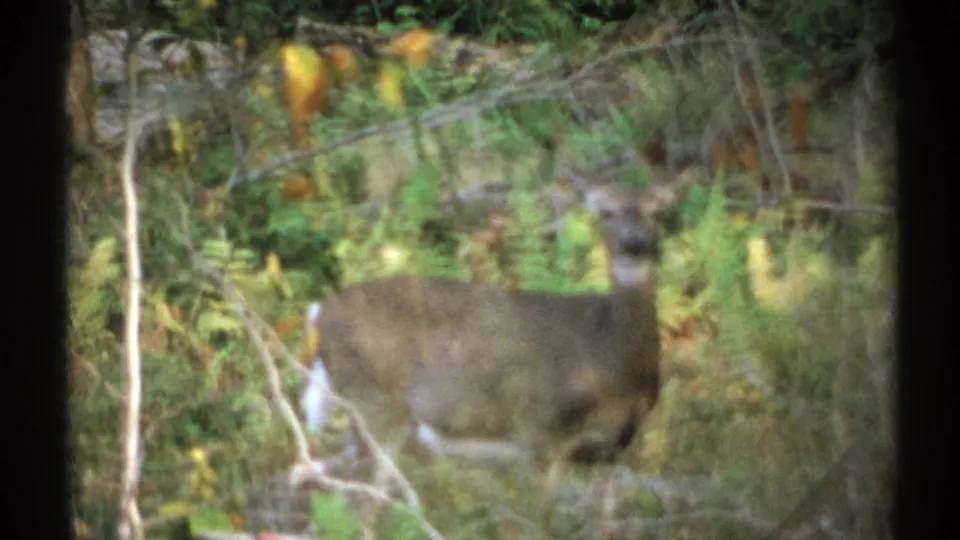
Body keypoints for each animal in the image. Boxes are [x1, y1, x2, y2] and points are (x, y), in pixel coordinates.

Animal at [297, 162, 704, 506]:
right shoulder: (538, 429)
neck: (610, 361)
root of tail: (318, 313)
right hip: (374, 405)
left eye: (658, 212)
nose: (634, 244)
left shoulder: (610, 448)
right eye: (605, 212)